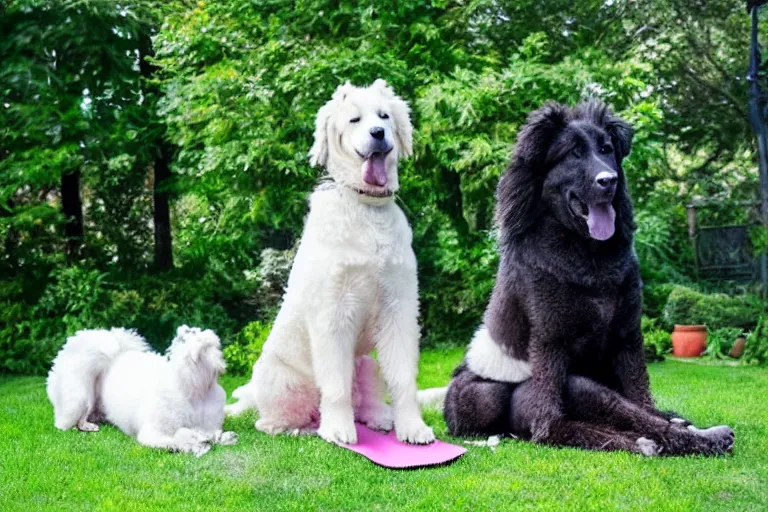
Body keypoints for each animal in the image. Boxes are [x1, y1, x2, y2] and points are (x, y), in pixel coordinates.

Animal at [47, 326, 236, 454]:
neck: (192, 391)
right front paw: (195, 443)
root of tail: (115, 358)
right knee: (77, 418)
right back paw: (85, 426)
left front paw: (220, 438)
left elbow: (211, 433)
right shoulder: (153, 433)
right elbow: (177, 437)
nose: (222, 364)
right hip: (83, 396)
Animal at [225, 79, 436, 444]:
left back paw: (380, 416)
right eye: (355, 120)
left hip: (367, 363)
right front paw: (338, 428)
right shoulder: (333, 312)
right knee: (275, 419)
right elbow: (336, 384)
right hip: (281, 380)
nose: (378, 133)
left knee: (365, 397)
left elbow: (403, 377)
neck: (366, 208)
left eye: (384, 116)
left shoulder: (400, 307)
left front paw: (413, 427)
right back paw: (298, 426)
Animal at [438, 101, 732, 456]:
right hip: (485, 395)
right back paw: (696, 438)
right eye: (574, 153)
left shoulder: (627, 339)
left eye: (606, 150)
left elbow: (643, 401)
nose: (610, 180)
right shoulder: (550, 347)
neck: (588, 257)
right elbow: (554, 428)